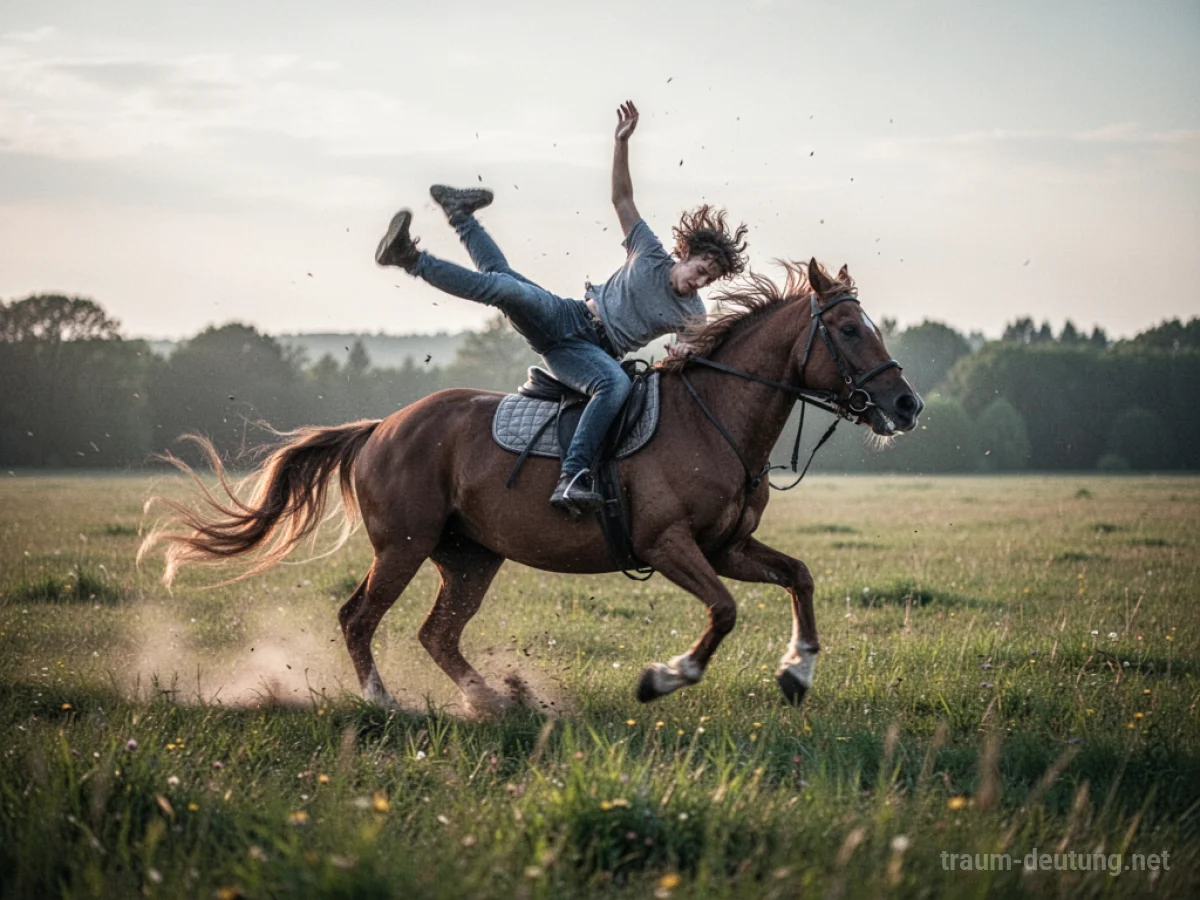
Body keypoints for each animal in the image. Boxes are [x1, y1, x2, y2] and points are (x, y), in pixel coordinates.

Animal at [139, 259, 923, 716]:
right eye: (848, 328)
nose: (907, 404)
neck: (715, 418)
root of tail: (382, 426)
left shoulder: (726, 544)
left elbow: (800, 575)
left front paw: (798, 672)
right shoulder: (669, 545)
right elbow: (725, 611)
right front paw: (664, 677)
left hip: (470, 558)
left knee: (436, 633)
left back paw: (498, 700)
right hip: (403, 546)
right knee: (358, 618)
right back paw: (383, 702)